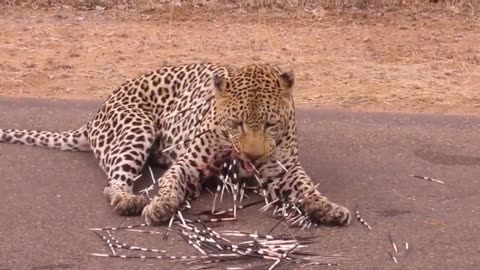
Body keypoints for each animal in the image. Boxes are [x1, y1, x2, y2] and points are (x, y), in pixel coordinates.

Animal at [0, 62, 352, 226]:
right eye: (236, 124)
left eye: (269, 124)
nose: (252, 156)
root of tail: (94, 116)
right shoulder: (187, 165)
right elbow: (170, 186)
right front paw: (161, 206)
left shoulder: (284, 171)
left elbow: (308, 189)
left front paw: (327, 208)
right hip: (136, 129)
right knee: (113, 183)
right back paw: (129, 201)